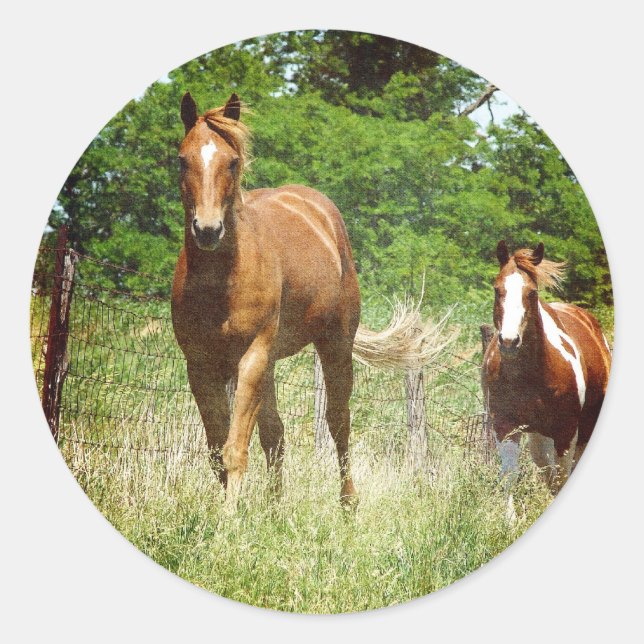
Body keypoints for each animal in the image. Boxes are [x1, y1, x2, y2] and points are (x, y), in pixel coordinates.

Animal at [171, 92, 445, 510]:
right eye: (183, 159)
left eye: (232, 161)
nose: (207, 230)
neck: (222, 280)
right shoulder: (200, 365)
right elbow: (219, 450)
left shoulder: (253, 354)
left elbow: (235, 449)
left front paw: (229, 519)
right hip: (268, 365)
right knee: (276, 435)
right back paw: (274, 509)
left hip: (334, 344)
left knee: (338, 421)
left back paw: (348, 503)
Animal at [482, 241, 611, 507]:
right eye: (497, 290)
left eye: (532, 293)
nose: (509, 341)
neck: (528, 377)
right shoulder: (504, 426)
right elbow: (511, 474)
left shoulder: (566, 431)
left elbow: (562, 477)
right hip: (538, 436)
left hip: (585, 427)